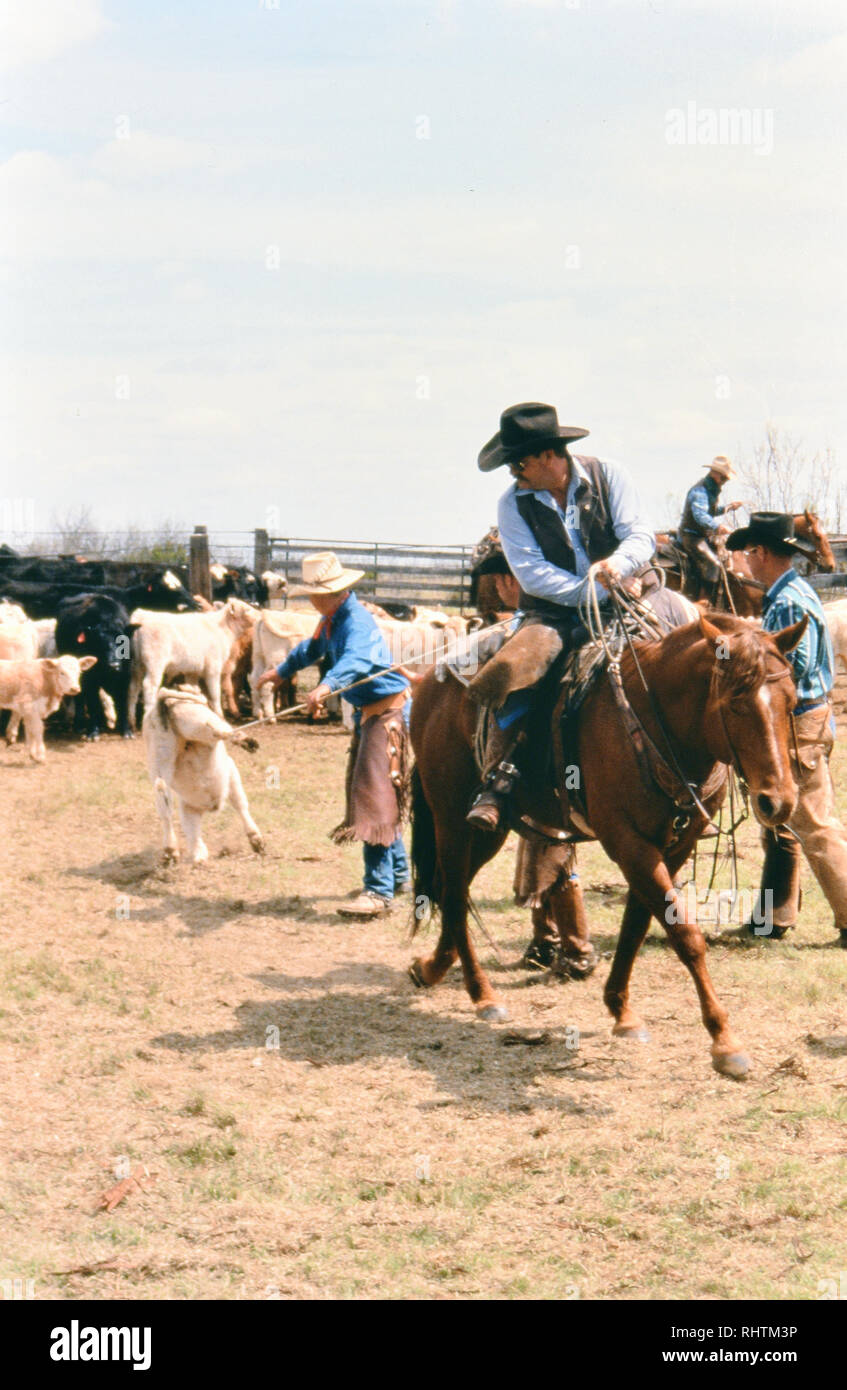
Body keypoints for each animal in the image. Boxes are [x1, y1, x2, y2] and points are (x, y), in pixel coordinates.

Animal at [54, 592, 136, 739]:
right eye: (99, 642)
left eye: (123, 642)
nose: (113, 665)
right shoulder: (89, 679)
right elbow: (93, 703)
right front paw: (93, 732)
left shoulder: (125, 676)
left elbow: (123, 702)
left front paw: (126, 730)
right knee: (80, 698)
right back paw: (79, 725)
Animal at [128, 597, 254, 728]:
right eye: (247, 609)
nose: (258, 615)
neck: (222, 629)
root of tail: (142, 615)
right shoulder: (213, 669)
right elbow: (215, 693)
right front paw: (220, 716)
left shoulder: (193, 670)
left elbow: (193, 689)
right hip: (154, 665)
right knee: (148, 686)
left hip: (136, 665)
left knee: (133, 688)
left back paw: (131, 721)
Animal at [141, 686, 264, 867]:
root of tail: (163, 701)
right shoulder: (231, 770)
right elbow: (240, 804)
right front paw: (256, 841)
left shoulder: (189, 807)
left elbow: (192, 830)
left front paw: (199, 853)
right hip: (197, 720)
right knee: (219, 729)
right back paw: (246, 741)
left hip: (159, 760)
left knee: (164, 804)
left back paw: (171, 852)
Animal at [408, 614, 806, 1078]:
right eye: (737, 704)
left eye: (791, 701)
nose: (778, 802)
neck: (653, 721)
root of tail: (430, 680)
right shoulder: (628, 843)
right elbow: (685, 934)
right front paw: (725, 1042)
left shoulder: (673, 846)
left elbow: (637, 923)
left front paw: (622, 1011)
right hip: (451, 816)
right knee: (453, 893)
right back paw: (482, 994)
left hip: (489, 832)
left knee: (449, 888)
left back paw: (431, 968)